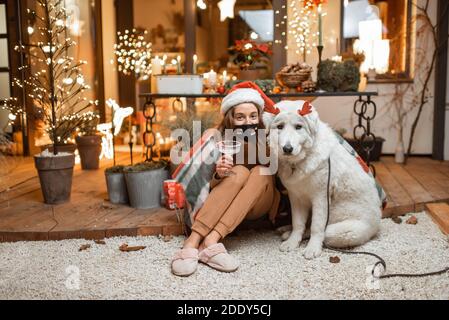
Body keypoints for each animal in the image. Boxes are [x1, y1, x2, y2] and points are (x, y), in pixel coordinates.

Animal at [264, 101, 384, 258]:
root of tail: (377, 223)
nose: (287, 149)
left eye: (298, 127)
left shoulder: (320, 198)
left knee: (321, 232)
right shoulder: (296, 197)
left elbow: (316, 226)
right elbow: (298, 223)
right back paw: (286, 231)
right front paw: (292, 242)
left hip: (339, 231)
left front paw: (312, 248)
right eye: (280, 127)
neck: (300, 161)